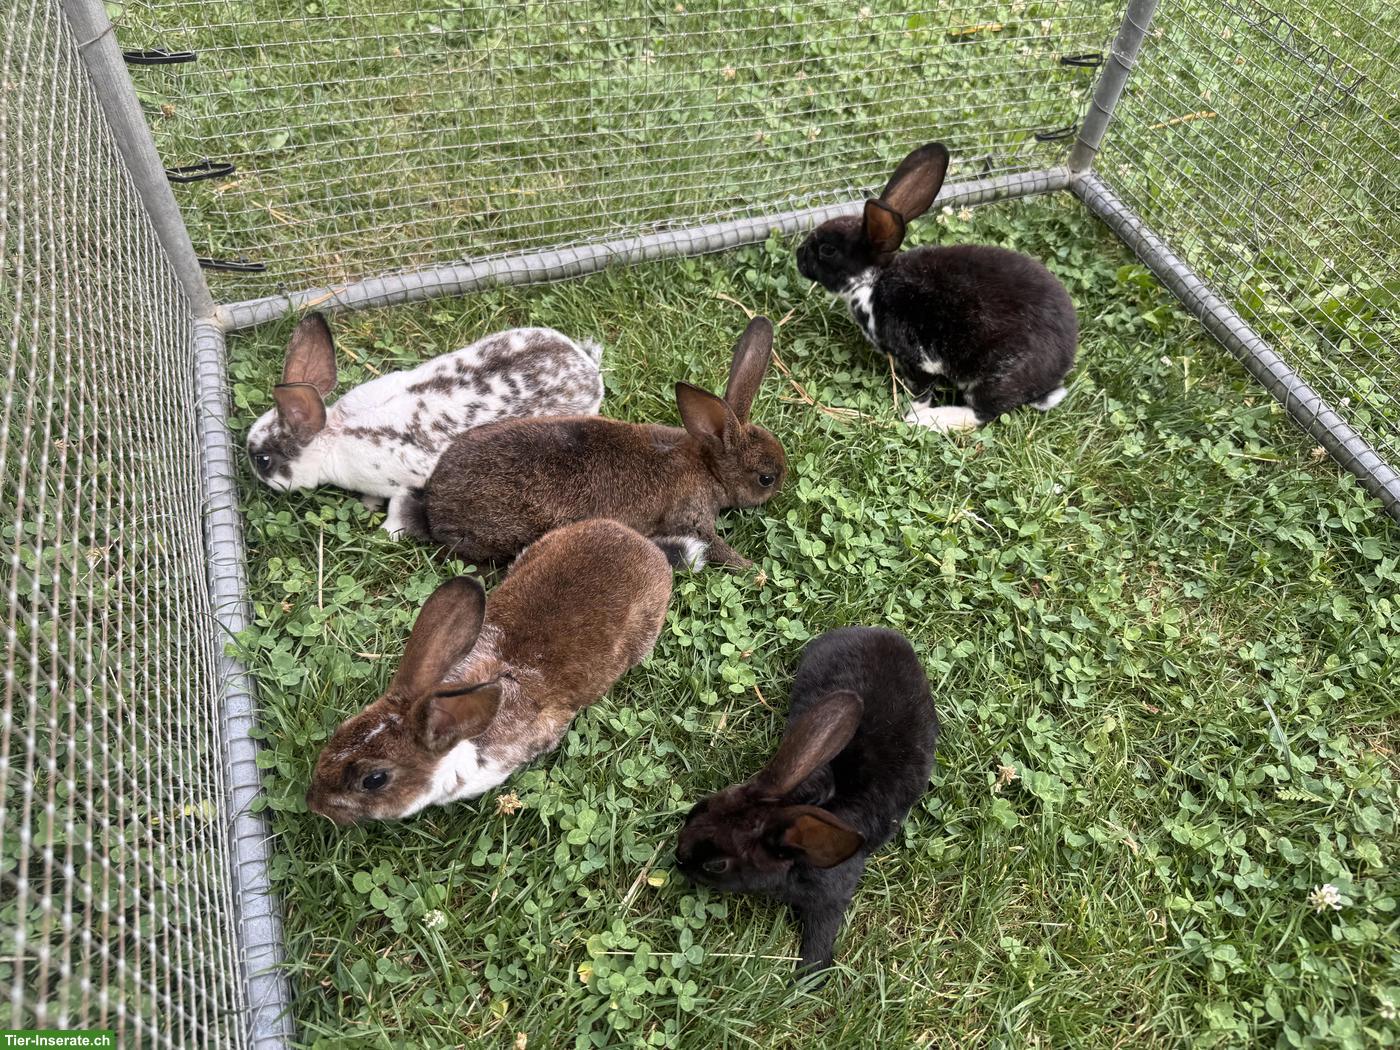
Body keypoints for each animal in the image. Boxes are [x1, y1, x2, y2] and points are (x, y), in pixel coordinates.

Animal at [245, 312, 605, 536]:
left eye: (262, 460)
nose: (254, 477)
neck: (334, 435)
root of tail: (586, 365)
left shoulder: (406, 483)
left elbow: (398, 509)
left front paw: (387, 532)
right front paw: (367, 505)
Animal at [405, 316, 785, 570]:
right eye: (765, 478)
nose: (778, 491)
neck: (709, 466)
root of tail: (434, 506)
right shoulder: (693, 520)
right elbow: (716, 546)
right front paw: (754, 571)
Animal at [675, 626, 939, 975]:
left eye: (717, 865)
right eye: (697, 808)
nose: (677, 859)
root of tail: (885, 635)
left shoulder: (830, 900)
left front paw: (808, 977)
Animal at [796, 142, 1077, 433]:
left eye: (828, 250)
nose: (798, 255)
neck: (874, 281)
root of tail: (1056, 371)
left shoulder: (918, 359)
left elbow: (922, 391)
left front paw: (911, 412)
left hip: (996, 377)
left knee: (982, 413)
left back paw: (928, 420)